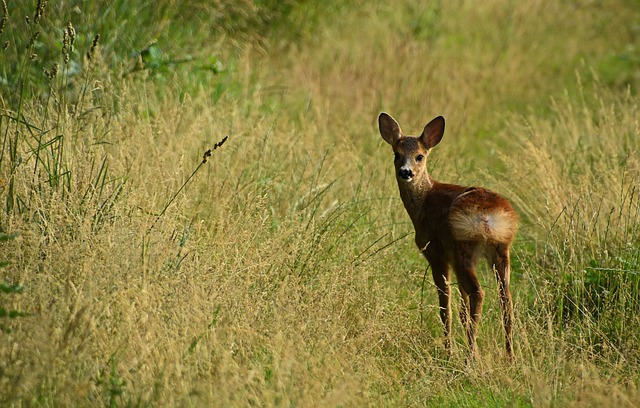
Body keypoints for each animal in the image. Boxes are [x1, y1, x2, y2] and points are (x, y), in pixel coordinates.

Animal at [378, 111, 516, 356]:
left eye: (420, 156)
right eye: (397, 154)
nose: (406, 172)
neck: (425, 201)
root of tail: (488, 216)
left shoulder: (436, 253)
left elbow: (446, 306)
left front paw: (449, 351)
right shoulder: (450, 259)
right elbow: (461, 310)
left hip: (464, 248)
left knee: (478, 293)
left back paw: (471, 355)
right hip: (500, 251)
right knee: (505, 298)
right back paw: (510, 356)